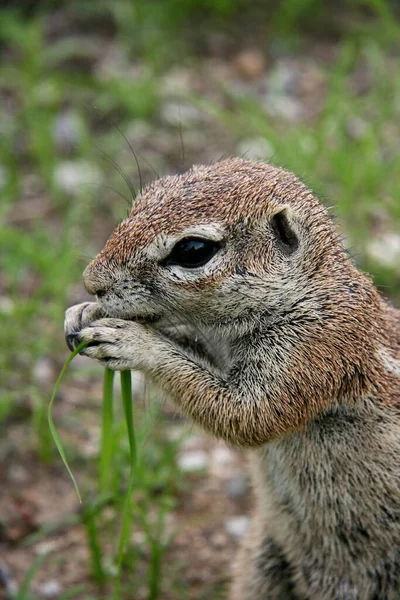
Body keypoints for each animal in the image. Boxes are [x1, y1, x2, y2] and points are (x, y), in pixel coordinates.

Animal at [65, 157, 400, 596]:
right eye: (145, 195)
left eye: (193, 250)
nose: (92, 281)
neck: (305, 292)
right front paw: (83, 312)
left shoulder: (314, 349)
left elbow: (247, 416)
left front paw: (131, 340)